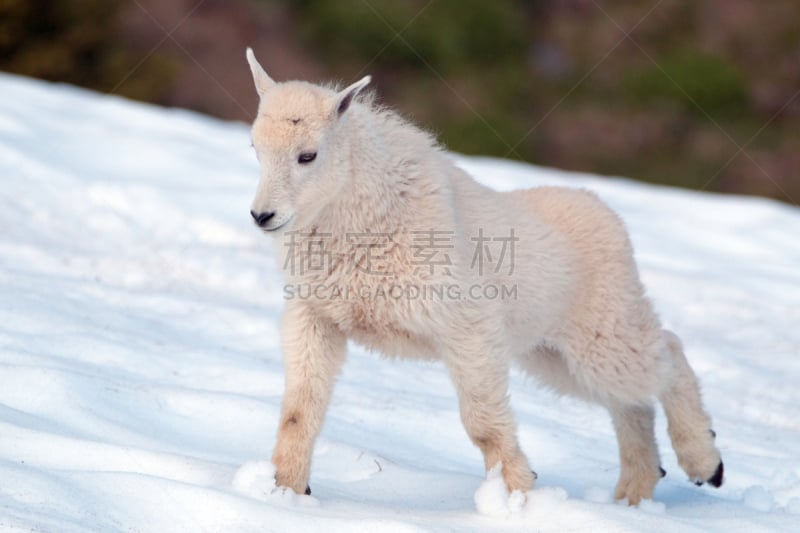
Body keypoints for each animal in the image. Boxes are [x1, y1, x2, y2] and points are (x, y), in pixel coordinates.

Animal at [244, 48, 720, 502]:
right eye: (255, 148)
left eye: (308, 155)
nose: (263, 216)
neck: (361, 212)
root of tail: (609, 217)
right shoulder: (317, 318)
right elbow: (299, 410)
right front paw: (286, 490)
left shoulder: (467, 327)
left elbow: (483, 423)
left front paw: (517, 494)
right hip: (551, 353)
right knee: (631, 403)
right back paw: (637, 490)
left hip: (602, 335)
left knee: (667, 355)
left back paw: (704, 462)